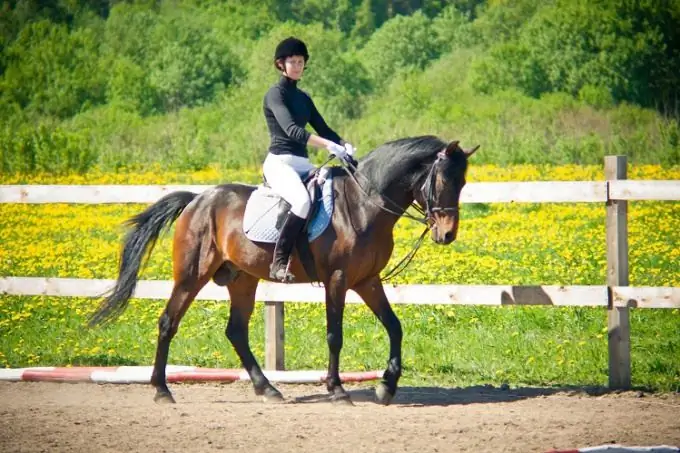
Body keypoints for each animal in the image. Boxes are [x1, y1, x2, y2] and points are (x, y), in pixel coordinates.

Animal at [89, 134, 478, 402]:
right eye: (442, 181)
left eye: (462, 183)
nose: (446, 234)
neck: (363, 205)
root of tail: (197, 199)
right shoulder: (337, 280)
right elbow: (335, 336)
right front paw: (337, 390)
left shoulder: (368, 281)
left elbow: (395, 327)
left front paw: (387, 386)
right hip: (190, 277)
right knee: (168, 322)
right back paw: (161, 390)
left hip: (242, 280)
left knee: (236, 331)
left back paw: (268, 389)